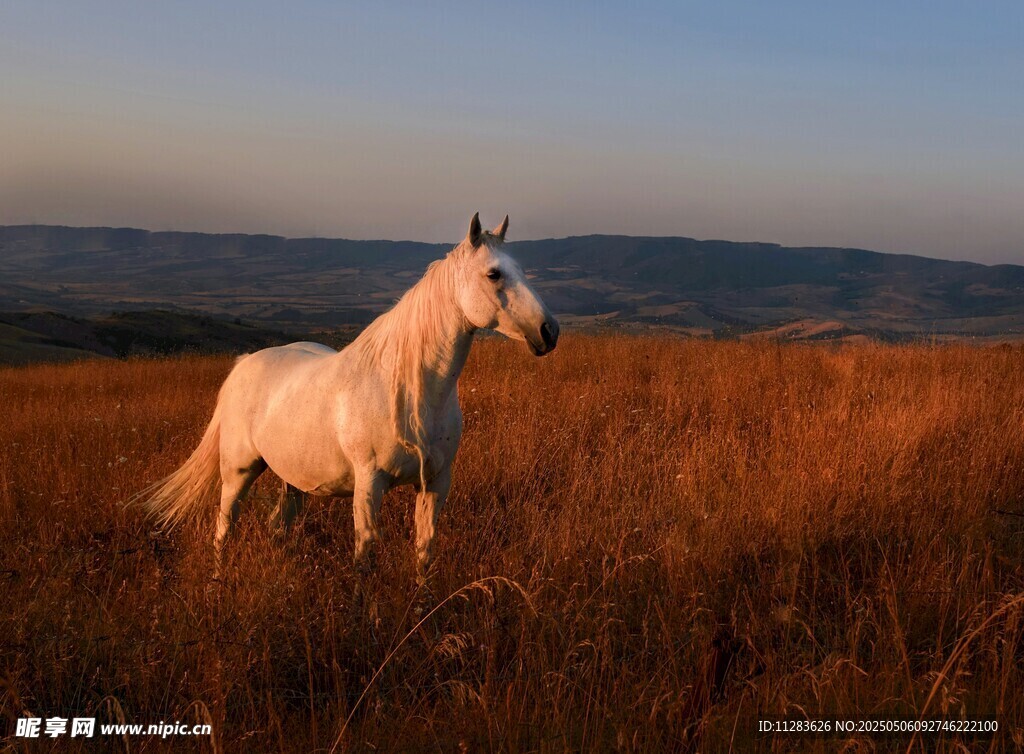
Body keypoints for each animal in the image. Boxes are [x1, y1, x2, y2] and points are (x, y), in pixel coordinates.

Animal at [137, 213, 558, 580]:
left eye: (522, 270)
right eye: (494, 273)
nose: (549, 331)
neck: (410, 393)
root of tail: (243, 365)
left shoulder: (436, 483)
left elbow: (425, 552)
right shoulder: (369, 483)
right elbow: (365, 555)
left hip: (292, 478)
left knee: (279, 526)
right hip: (238, 471)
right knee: (224, 529)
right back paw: (217, 583)